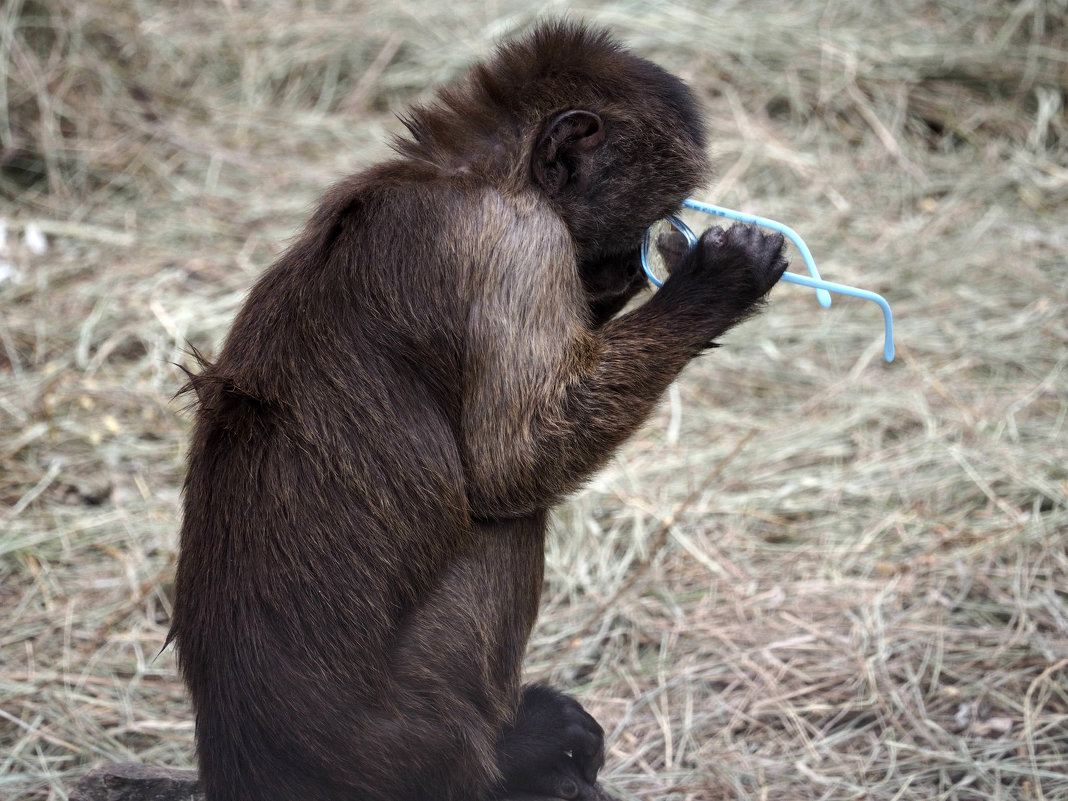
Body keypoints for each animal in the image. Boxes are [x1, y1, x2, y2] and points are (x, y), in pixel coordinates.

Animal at [166, 17, 786, 801]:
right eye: (642, 221)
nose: (624, 267)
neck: (470, 172)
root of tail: (248, 762)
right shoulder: (517, 240)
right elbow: (510, 465)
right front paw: (715, 283)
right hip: (405, 737)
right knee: (507, 520)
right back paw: (509, 759)